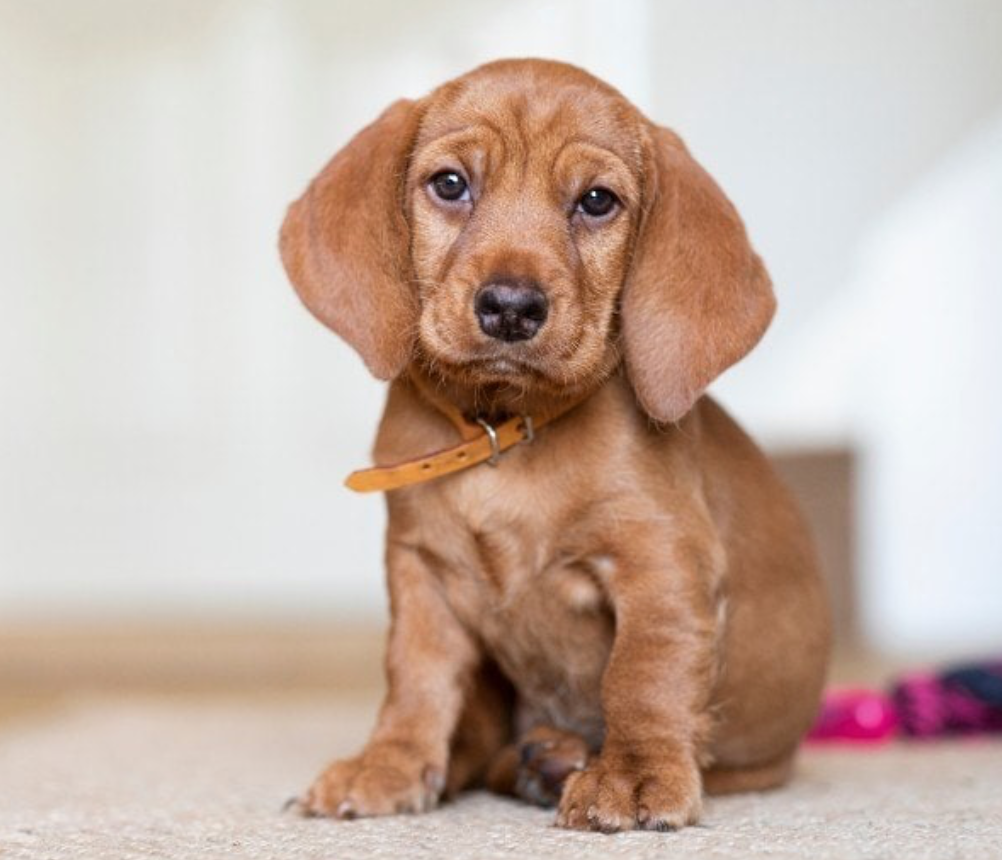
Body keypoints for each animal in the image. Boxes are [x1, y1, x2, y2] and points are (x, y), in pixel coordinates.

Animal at [282, 60, 829, 829]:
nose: (511, 307)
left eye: (597, 201)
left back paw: (562, 759)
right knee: (478, 734)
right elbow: (416, 679)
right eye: (450, 184)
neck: (506, 432)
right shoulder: (421, 572)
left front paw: (632, 773)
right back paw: (527, 759)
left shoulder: (660, 563)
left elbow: (643, 674)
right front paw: (390, 762)